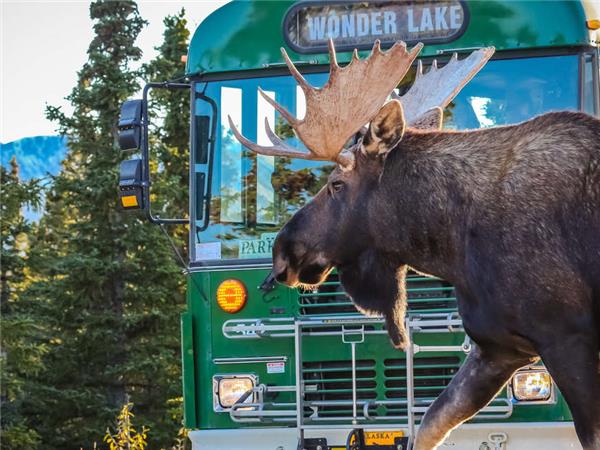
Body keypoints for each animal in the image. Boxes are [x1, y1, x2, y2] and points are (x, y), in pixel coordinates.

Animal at [230, 40, 600, 448]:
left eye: (335, 184)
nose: (282, 252)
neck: (452, 245)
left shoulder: (567, 337)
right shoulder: (498, 347)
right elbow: (429, 425)